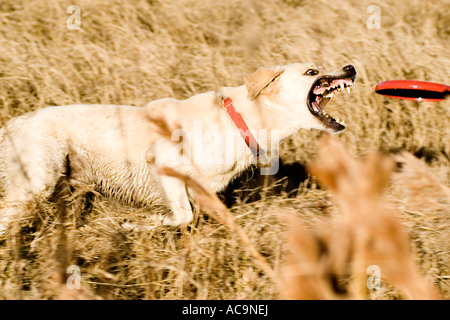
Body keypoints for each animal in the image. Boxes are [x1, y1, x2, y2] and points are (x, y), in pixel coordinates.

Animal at [0, 62, 356, 234]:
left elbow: (195, 216)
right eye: (311, 71)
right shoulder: (164, 161)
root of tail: (11, 124)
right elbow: (183, 216)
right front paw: (133, 226)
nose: (351, 68)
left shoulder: (204, 191)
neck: (241, 119)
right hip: (36, 185)